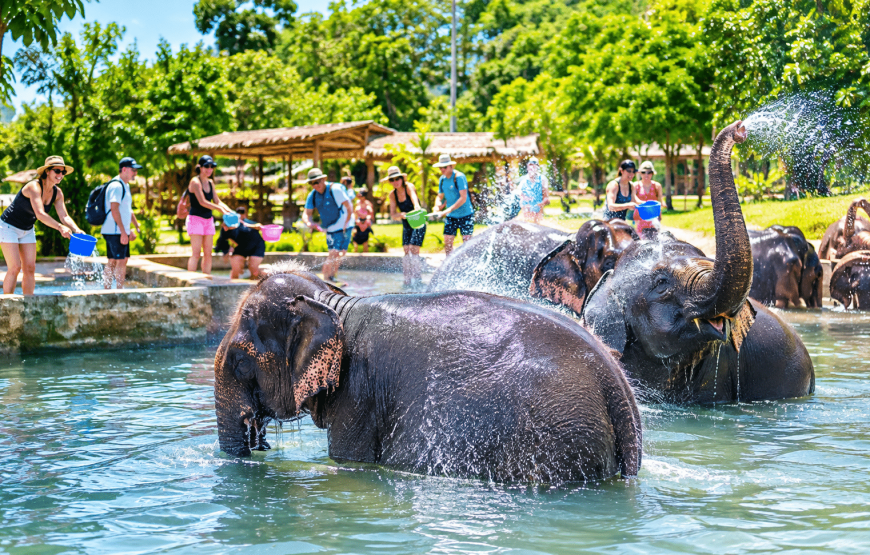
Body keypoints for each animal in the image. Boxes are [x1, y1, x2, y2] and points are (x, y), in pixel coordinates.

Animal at [214, 261, 642, 483]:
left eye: (239, 361)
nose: (257, 440)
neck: (334, 302)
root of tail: (619, 393)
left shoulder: (359, 394)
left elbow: (349, 459)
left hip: (557, 440)